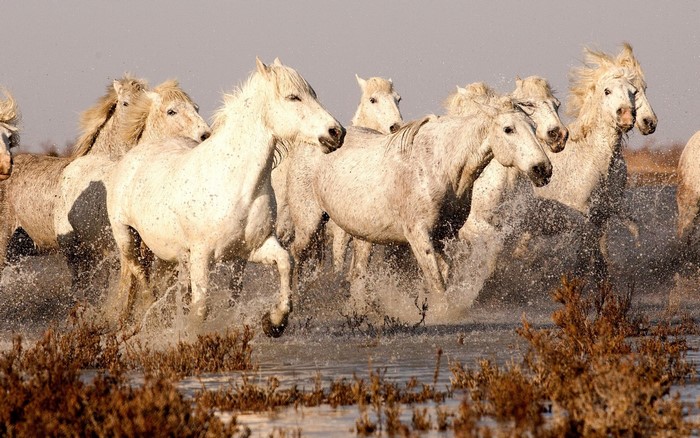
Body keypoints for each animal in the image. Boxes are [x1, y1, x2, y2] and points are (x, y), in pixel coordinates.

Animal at [106, 58, 344, 337]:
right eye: (293, 97)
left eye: (313, 94)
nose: (336, 133)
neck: (235, 185)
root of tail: (133, 155)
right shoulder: (202, 255)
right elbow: (201, 308)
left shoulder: (252, 248)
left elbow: (285, 263)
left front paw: (274, 322)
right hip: (127, 237)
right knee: (140, 274)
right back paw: (149, 315)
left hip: (172, 255)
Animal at [287, 95, 552, 297]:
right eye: (508, 129)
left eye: (533, 127)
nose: (543, 169)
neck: (438, 166)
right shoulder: (419, 235)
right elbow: (437, 283)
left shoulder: (445, 235)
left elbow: (445, 273)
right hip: (309, 224)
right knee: (297, 254)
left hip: (361, 236)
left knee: (357, 272)